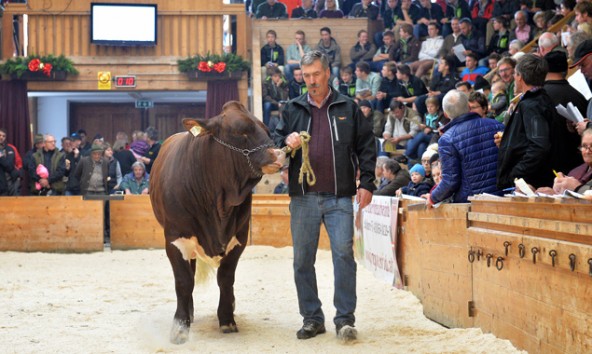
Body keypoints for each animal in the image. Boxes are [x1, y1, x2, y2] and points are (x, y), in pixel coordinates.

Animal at [151, 101, 284, 344]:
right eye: (240, 132)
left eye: (266, 130)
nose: (278, 154)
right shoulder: (175, 240)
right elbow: (183, 282)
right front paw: (180, 326)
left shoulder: (238, 238)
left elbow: (226, 278)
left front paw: (227, 318)